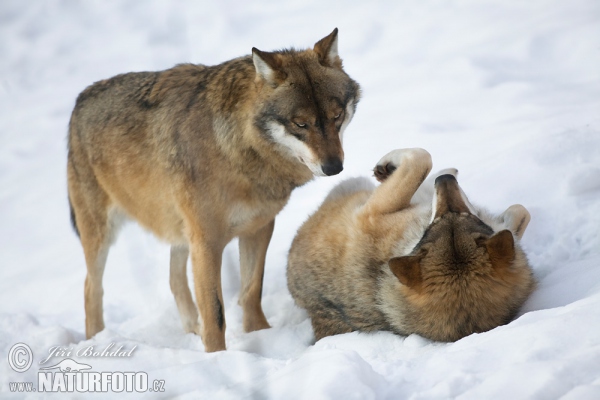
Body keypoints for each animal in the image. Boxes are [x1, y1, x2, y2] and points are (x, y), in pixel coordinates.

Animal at [69, 29, 360, 352]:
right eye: (301, 124)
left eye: (336, 116)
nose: (333, 167)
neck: (237, 151)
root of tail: (80, 99)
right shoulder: (207, 242)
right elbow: (216, 312)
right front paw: (217, 355)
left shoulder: (258, 228)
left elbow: (251, 291)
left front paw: (259, 335)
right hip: (102, 234)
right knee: (90, 288)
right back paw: (96, 341)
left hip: (180, 232)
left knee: (173, 279)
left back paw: (190, 330)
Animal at [288, 148, 536, 342]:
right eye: (438, 221)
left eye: (463, 216)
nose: (445, 181)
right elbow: (520, 212)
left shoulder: (370, 214)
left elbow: (421, 158)